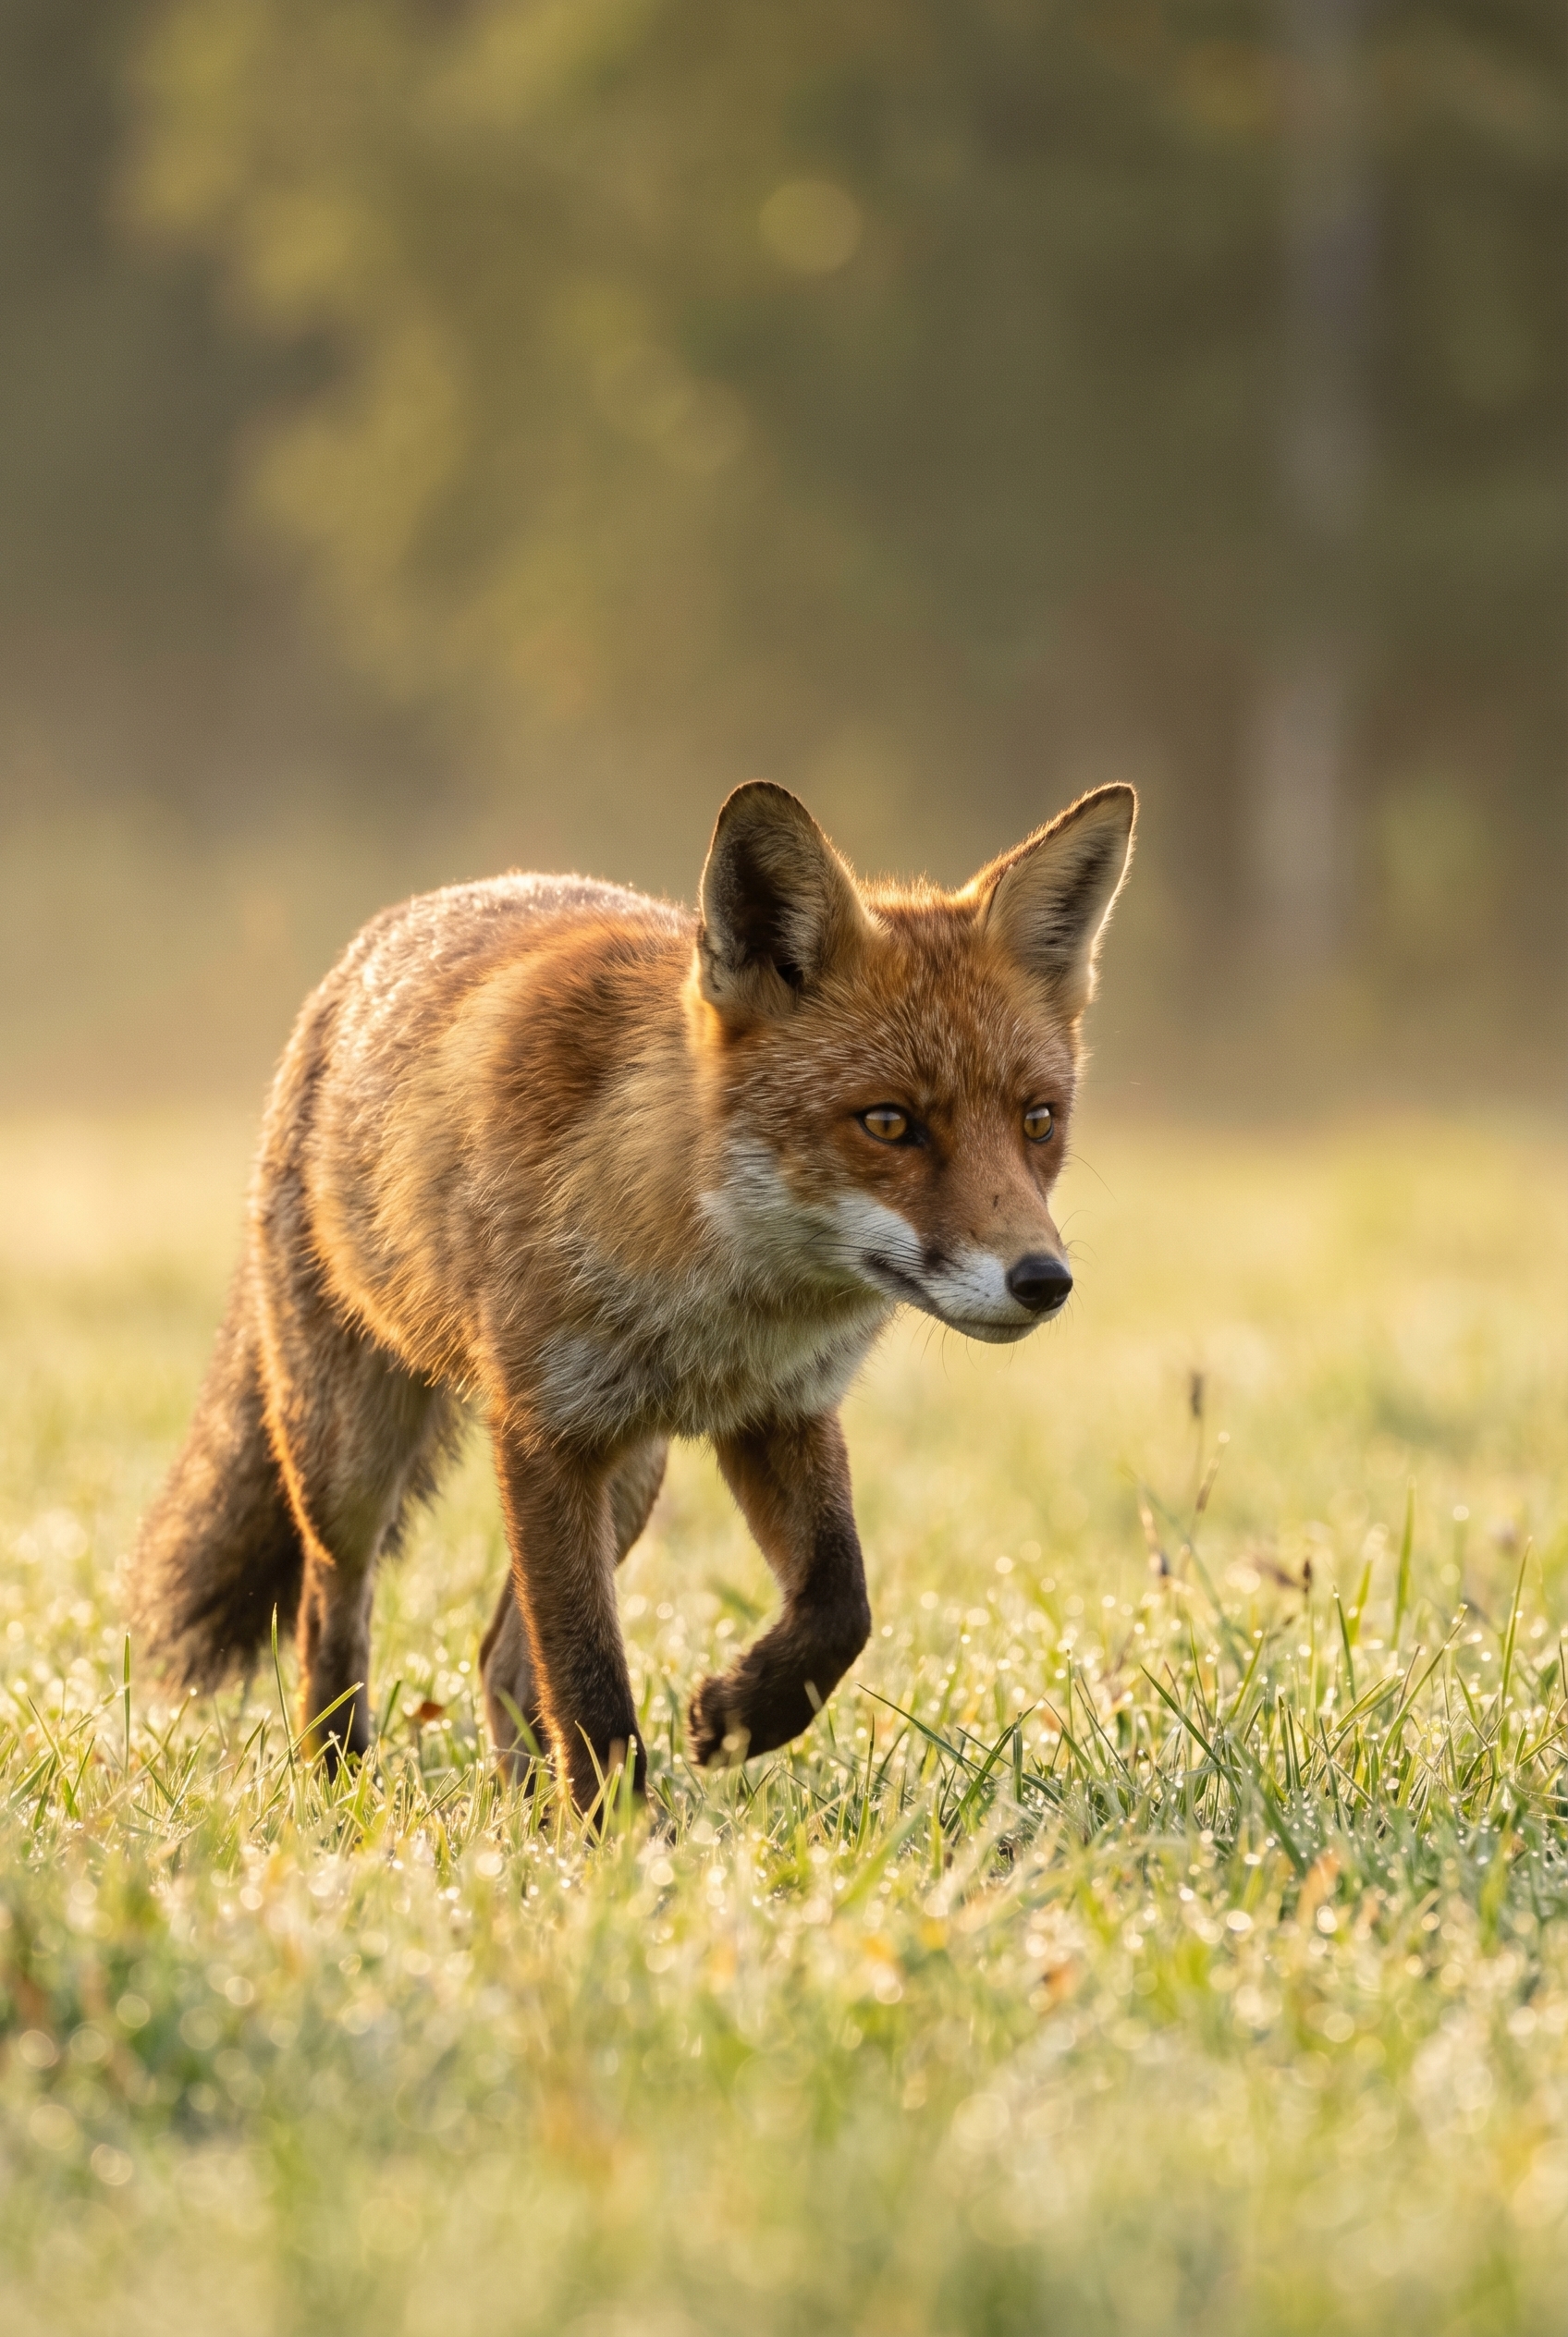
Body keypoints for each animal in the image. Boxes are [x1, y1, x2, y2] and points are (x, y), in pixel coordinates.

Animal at [125, 779, 1135, 1813]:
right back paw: (342, 1783)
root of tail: (363, 956)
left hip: (633, 1479)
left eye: (1038, 1121)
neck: (716, 1302)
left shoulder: (780, 1414)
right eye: (889, 1122)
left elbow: (838, 1607)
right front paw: (623, 1837)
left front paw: (738, 1715)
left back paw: (527, 1811)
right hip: (350, 1458)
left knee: (498, 1655)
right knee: (334, 1609)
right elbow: (590, 1679)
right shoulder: (545, 1434)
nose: (1042, 1279)